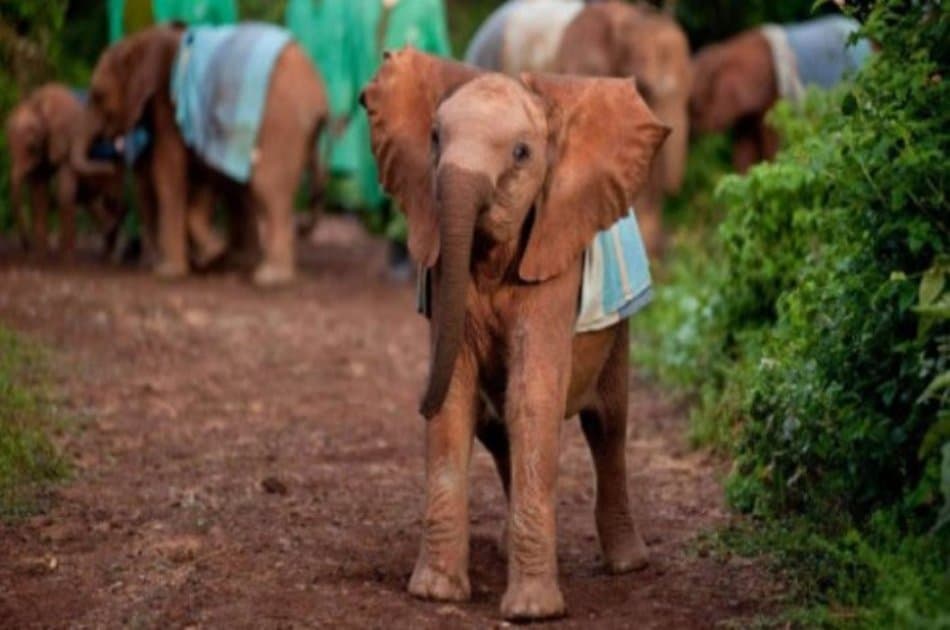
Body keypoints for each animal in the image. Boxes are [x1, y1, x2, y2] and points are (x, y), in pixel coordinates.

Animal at [5, 84, 127, 258]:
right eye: (8, 144)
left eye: (31, 146)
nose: (26, 247)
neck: (38, 102)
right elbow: (39, 193)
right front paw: (41, 256)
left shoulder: (67, 139)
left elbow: (64, 191)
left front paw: (65, 258)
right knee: (93, 201)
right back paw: (108, 243)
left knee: (109, 198)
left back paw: (112, 254)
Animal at [72, 24, 328, 286]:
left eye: (98, 95)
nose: (110, 156)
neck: (142, 39)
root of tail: (318, 92)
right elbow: (206, 176)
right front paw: (214, 256)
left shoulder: (168, 105)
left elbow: (167, 175)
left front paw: (169, 272)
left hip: (280, 124)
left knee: (266, 187)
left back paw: (269, 277)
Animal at [361, 48, 668, 620]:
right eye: (433, 138)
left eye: (522, 154)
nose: (415, 400)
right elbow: (456, 399)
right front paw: (435, 592)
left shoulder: (552, 258)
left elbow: (533, 394)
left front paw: (531, 612)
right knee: (495, 427)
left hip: (619, 330)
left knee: (608, 425)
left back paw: (626, 564)